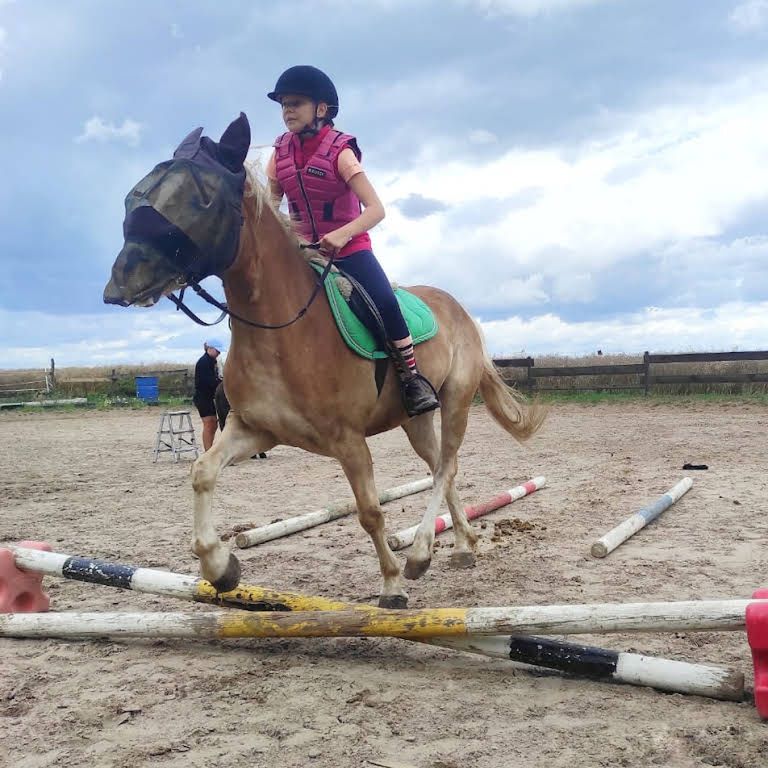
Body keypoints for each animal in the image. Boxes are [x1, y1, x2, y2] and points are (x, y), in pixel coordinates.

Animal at [103, 114, 544, 608]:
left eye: (202, 198)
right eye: (135, 193)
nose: (118, 285)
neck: (282, 330)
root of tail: (458, 308)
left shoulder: (348, 441)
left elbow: (370, 512)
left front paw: (391, 584)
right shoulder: (253, 429)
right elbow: (201, 472)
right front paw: (220, 567)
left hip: (455, 401)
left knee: (446, 466)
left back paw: (419, 555)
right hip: (413, 420)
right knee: (441, 470)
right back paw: (461, 547)